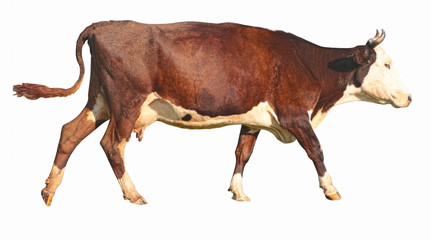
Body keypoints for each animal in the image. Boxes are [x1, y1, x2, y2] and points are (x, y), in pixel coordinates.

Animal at [13, 20, 412, 206]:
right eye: (386, 63)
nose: (409, 97)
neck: (311, 65)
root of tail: (103, 25)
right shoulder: (295, 114)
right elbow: (316, 150)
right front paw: (331, 190)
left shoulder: (254, 119)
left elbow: (242, 153)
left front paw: (237, 191)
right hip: (125, 102)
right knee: (111, 144)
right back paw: (134, 194)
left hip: (100, 99)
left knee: (70, 131)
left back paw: (49, 189)